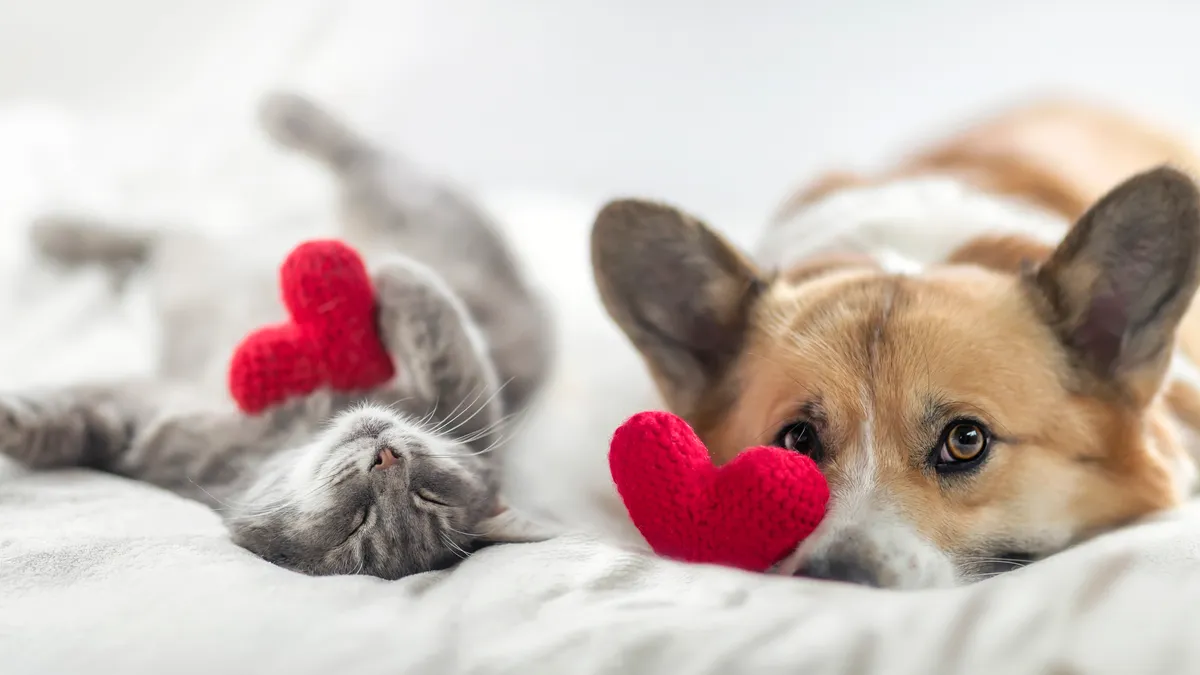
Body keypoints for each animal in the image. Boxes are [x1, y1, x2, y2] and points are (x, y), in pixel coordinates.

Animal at [0, 90, 552, 578]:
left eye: (360, 526)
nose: (386, 457)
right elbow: (54, 421)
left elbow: (436, 323)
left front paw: (387, 274)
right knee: (156, 235)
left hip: (401, 211)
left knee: (357, 164)